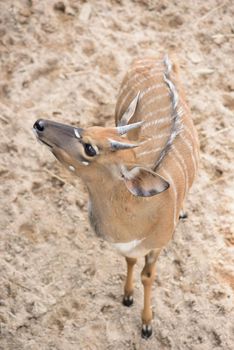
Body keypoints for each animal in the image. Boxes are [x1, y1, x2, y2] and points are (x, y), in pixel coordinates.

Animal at [33, 54, 199, 340]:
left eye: (90, 148)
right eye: (89, 129)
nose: (40, 124)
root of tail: (160, 55)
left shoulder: (157, 246)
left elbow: (148, 276)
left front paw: (147, 325)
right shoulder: (128, 249)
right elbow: (130, 261)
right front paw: (127, 296)